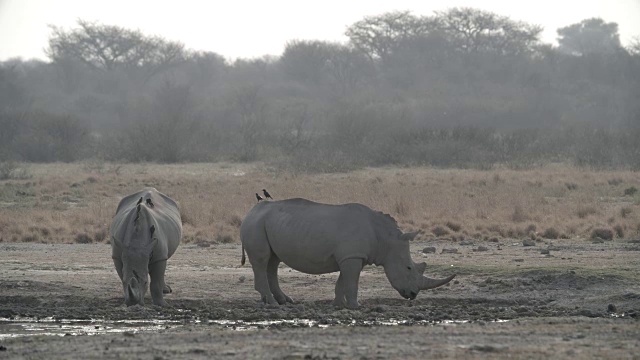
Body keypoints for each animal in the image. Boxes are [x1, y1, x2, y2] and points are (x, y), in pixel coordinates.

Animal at [240, 198, 456, 308]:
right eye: (409, 268)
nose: (412, 295)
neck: (385, 240)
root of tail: (250, 212)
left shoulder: (352, 256)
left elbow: (343, 282)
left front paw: (338, 304)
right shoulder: (352, 256)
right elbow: (352, 283)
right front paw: (356, 306)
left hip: (267, 223)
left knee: (273, 262)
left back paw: (284, 301)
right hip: (256, 224)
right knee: (262, 260)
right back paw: (272, 303)